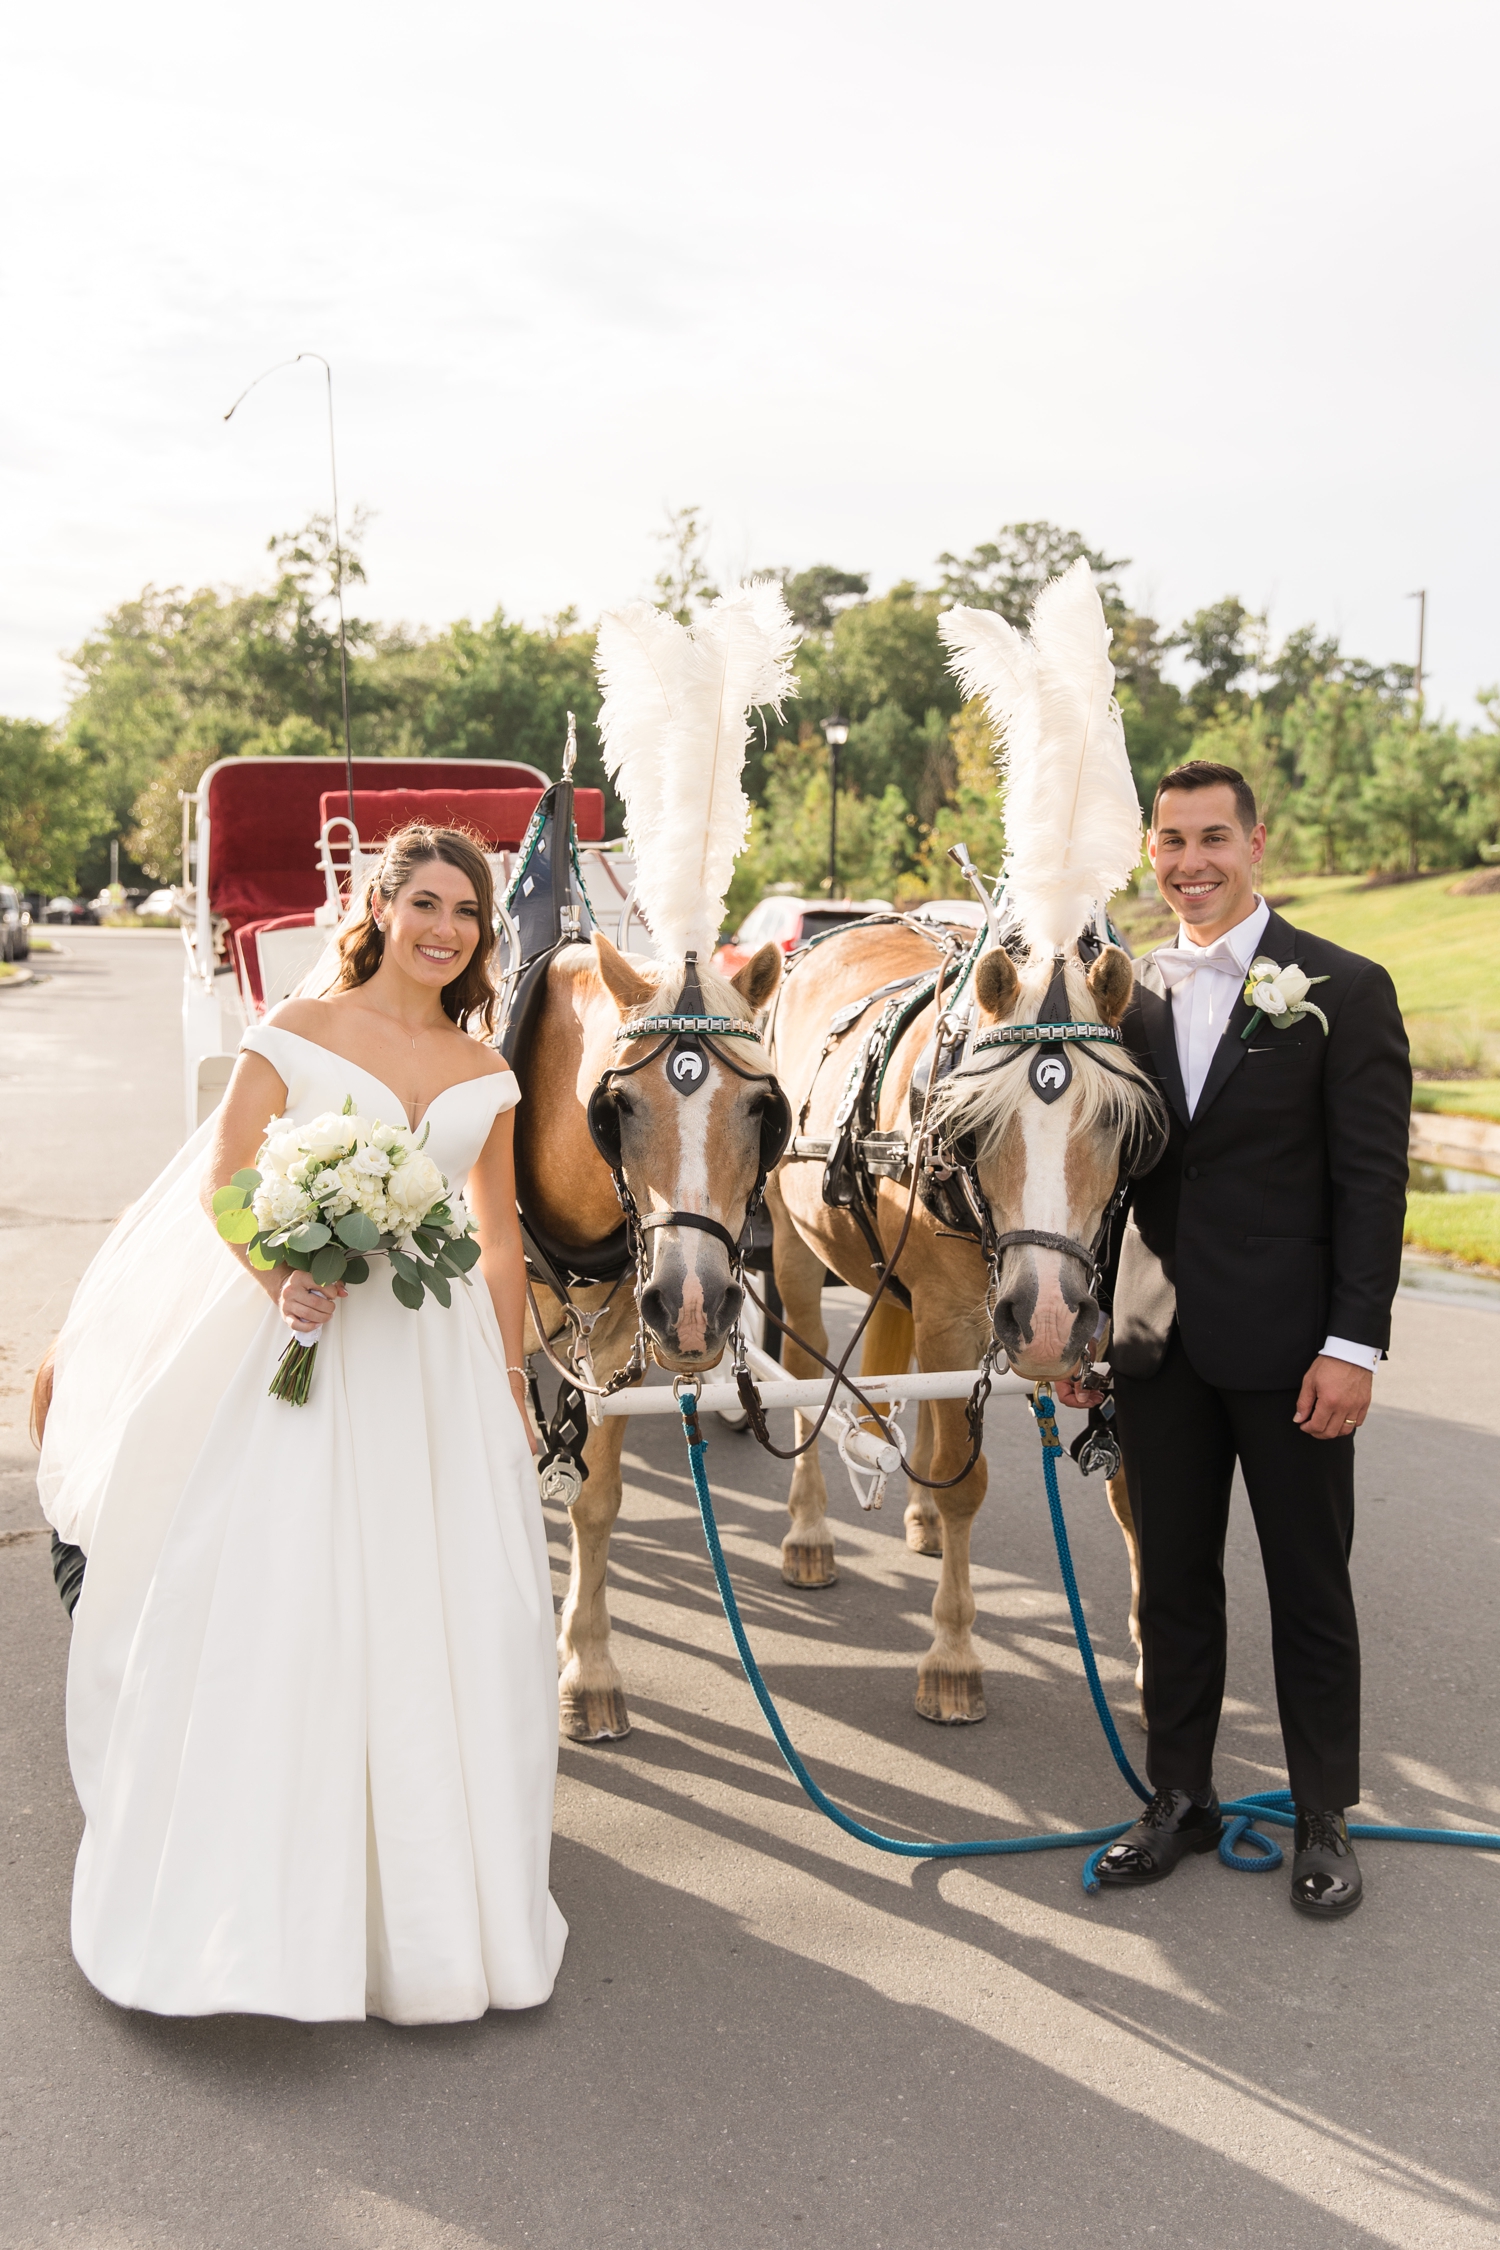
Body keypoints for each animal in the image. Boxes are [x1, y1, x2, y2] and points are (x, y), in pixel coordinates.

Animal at [519, 927, 787, 1737]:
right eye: (620, 1108)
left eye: (761, 1108)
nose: (691, 1303)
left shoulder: (608, 1347)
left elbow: (594, 1501)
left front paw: (588, 1667)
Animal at [764, 913, 1160, 1719]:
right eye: (977, 1123)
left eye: (1115, 1121)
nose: (1045, 1318)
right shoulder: (951, 1317)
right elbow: (963, 1478)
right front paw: (951, 1658)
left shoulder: (1106, 1327)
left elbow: (1130, 1492)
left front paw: (1154, 1663)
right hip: (791, 1244)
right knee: (801, 1369)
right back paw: (810, 1533)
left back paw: (917, 1517)